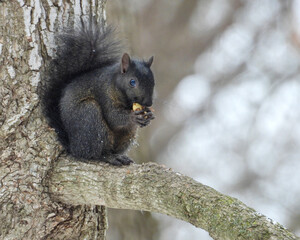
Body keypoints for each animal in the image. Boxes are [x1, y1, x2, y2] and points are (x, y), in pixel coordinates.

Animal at [40, 18, 155, 166]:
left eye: (153, 81)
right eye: (132, 82)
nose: (149, 102)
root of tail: (73, 147)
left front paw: (149, 115)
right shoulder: (104, 93)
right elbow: (113, 117)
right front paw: (132, 117)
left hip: (128, 134)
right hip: (90, 116)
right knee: (94, 154)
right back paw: (108, 157)